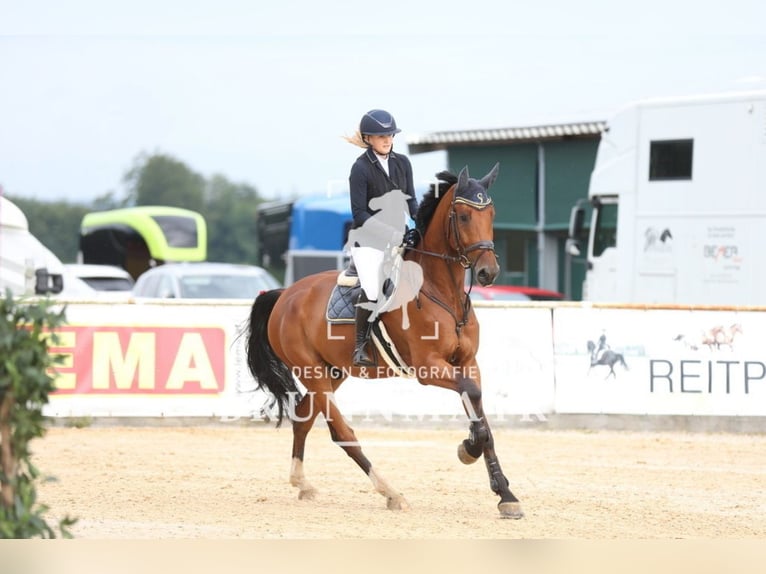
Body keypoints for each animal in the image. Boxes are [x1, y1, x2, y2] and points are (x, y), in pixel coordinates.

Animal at [249, 164, 524, 520]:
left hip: (331, 372)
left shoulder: (467, 363)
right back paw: (391, 492)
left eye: (491, 213)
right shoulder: (428, 367)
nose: (488, 272)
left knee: (302, 417)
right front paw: (468, 449)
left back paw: (303, 483)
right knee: (342, 433)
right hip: (312, 372)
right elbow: (473, 400)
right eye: (463, 216)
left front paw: (505, 494)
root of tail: (286, 294)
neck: (441, 291)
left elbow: (481, 414)